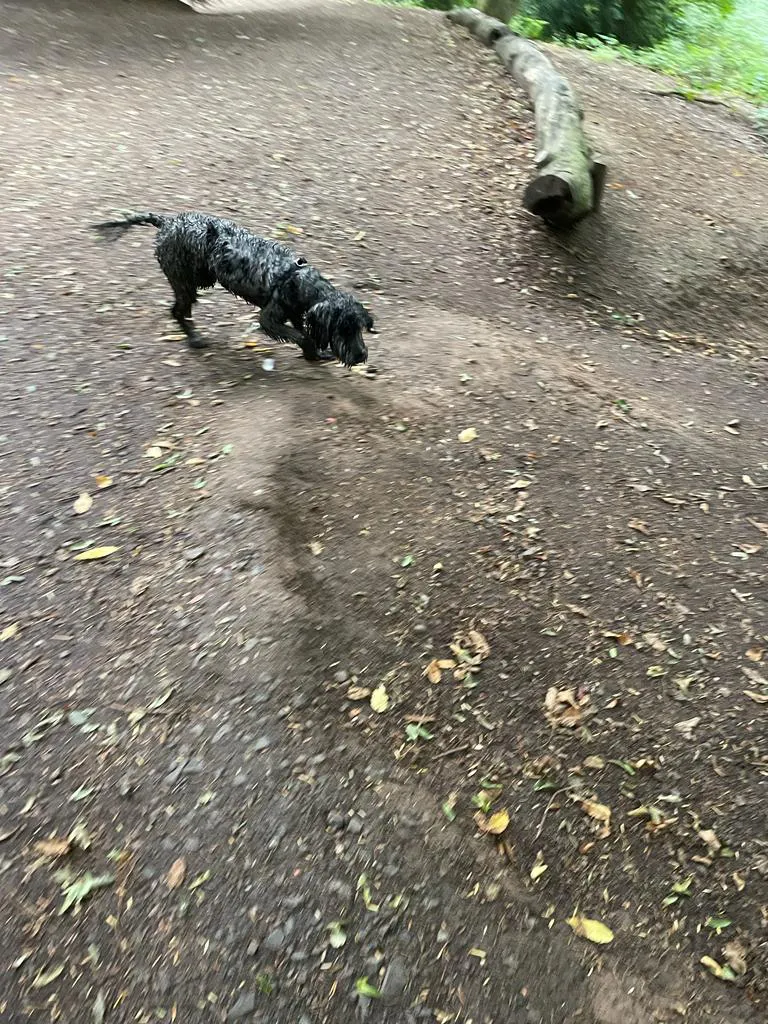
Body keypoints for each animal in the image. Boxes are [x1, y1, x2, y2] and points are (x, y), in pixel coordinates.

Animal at [91, 211, 375, 367]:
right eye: (343, 329)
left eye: (359, 329)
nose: (361, 355)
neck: (298, 279)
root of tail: (166, 222)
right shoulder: (268, 319)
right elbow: (302, 335)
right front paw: (312, 352)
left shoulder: (297, 313)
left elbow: (305, 332)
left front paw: (314, 354)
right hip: (186, 283)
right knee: (177, 311)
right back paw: (194, 339)